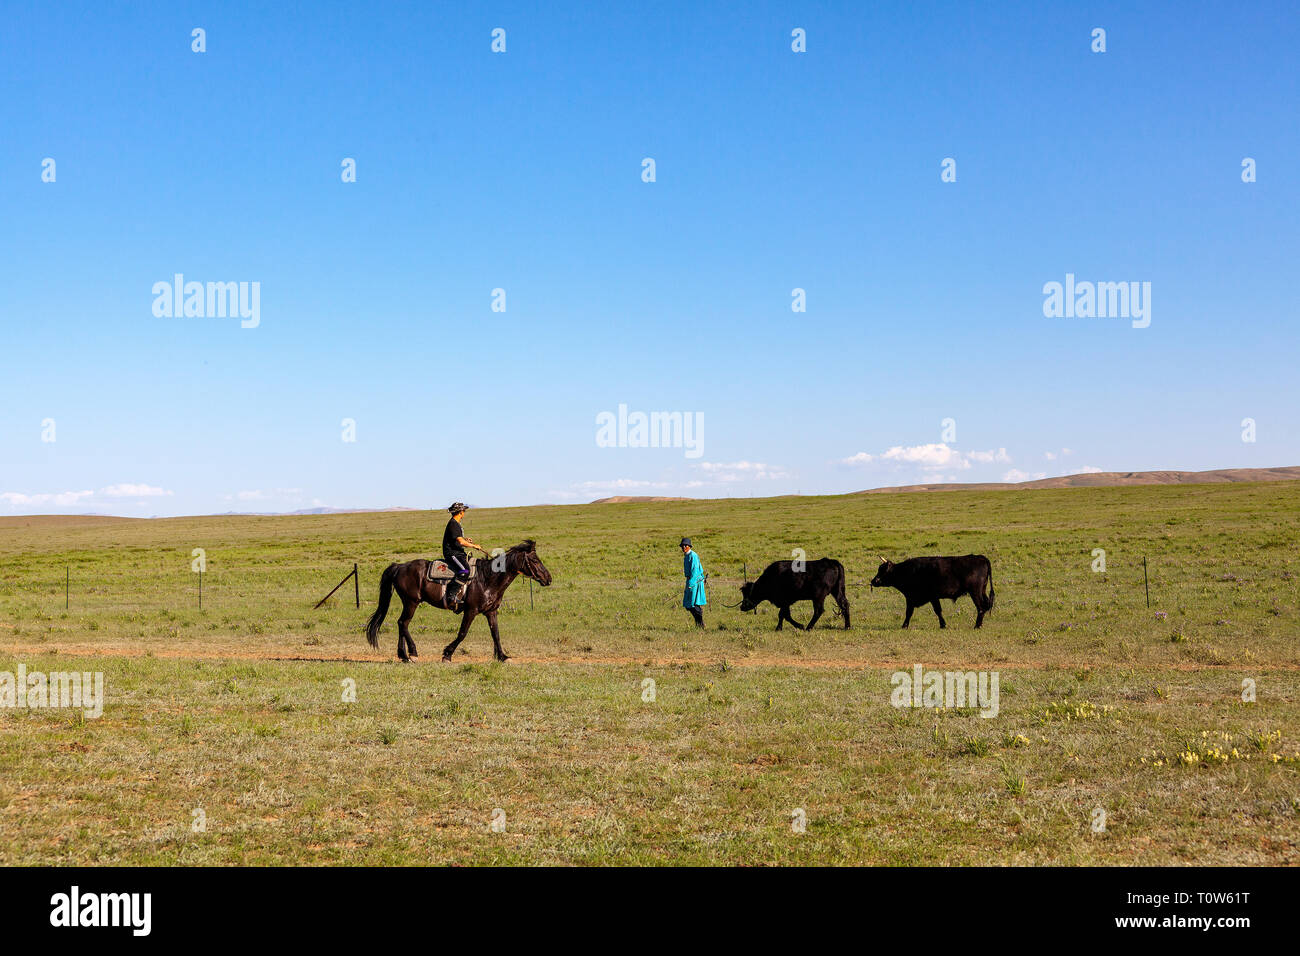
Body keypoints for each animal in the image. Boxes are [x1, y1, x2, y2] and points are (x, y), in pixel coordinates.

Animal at [364, 538, 551, 665]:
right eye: (535, 560)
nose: (548, 579)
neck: (488, 579)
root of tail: (399, 566)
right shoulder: (471, 611)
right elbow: (462, 633)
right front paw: (447, 654)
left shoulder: (491, 612)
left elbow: (496, 634)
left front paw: (503, 657)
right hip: (411, 602)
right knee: (403, 623)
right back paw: (412, 653)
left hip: (409, 603)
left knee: (401, 623)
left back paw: (403, 655)